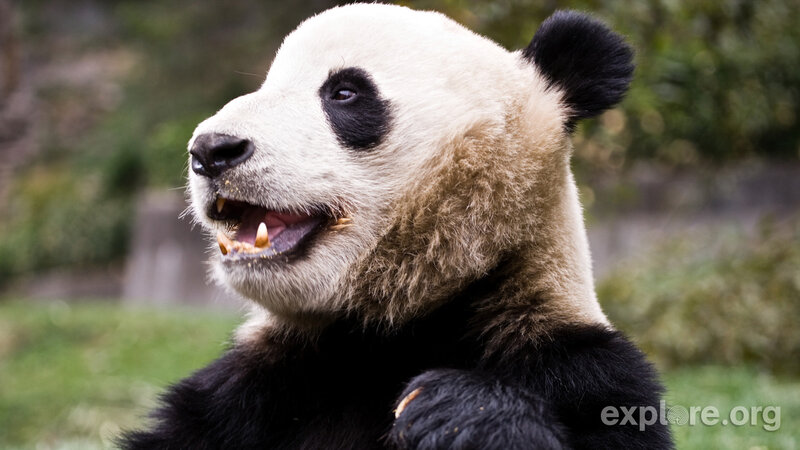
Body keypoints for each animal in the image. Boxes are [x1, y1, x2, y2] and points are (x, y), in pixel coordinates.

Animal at [121, 4, 672, 449]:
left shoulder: (575, 364)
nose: (211, 150)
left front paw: (461, 413)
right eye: (266, 86)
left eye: (344, 92)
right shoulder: (254, 389)